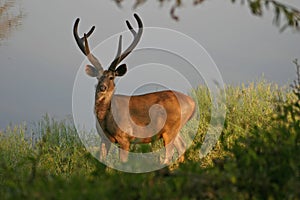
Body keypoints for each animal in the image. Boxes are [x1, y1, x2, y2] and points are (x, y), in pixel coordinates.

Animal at [73, 13, 196, 164]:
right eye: (97, 77)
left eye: (112, 77)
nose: (102, 87)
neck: (108, 119)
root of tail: (193, 103)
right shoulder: (104, 139)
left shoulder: (125, 138)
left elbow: (123, 163)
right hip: (174, 131)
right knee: (182, 147)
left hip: (170, 130)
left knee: (169, 154)